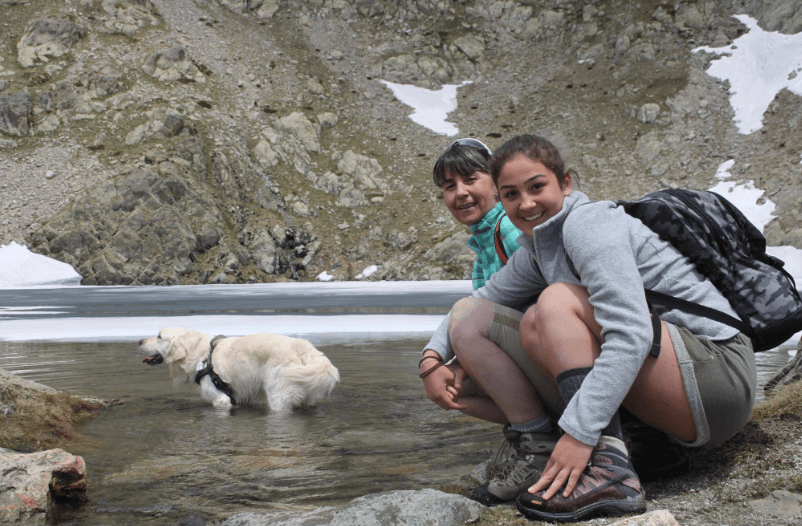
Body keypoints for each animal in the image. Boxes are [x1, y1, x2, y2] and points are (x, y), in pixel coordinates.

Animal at [138, 328, 338, 410]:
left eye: (159, 336)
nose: (139, 341)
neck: (200, 353)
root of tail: (303, 347)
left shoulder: (220, 398)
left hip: (278, 395)